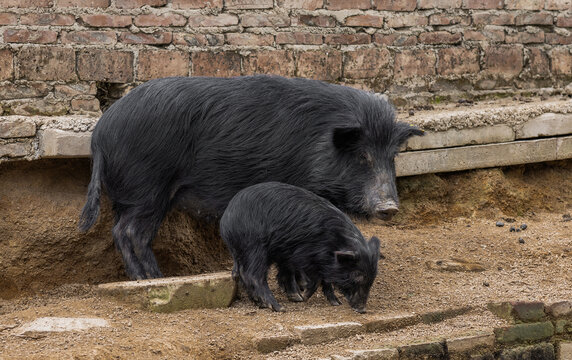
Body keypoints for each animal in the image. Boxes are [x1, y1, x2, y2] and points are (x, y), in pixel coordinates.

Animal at [78, 75, 422, 278]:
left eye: (392, 156)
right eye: (362, 156)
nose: (389, 207)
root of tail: (100, 134)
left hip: (145, 196)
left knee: (132, 233)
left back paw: (155, 277)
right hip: (147, 190)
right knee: (127, 232)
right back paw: (149, 278)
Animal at [219, 181, 380, 314]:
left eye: (373, 277)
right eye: (357, 275)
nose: (362, 310)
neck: (333, 241)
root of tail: (226, 221)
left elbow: (322, 278)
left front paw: (335, 303)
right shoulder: (301, 255)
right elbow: (315, 277)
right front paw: (304, 297)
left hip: (242, 251)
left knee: (239, 274)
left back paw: (261, 304)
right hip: (254, 247)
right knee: (252, 275)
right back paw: (279, 308)